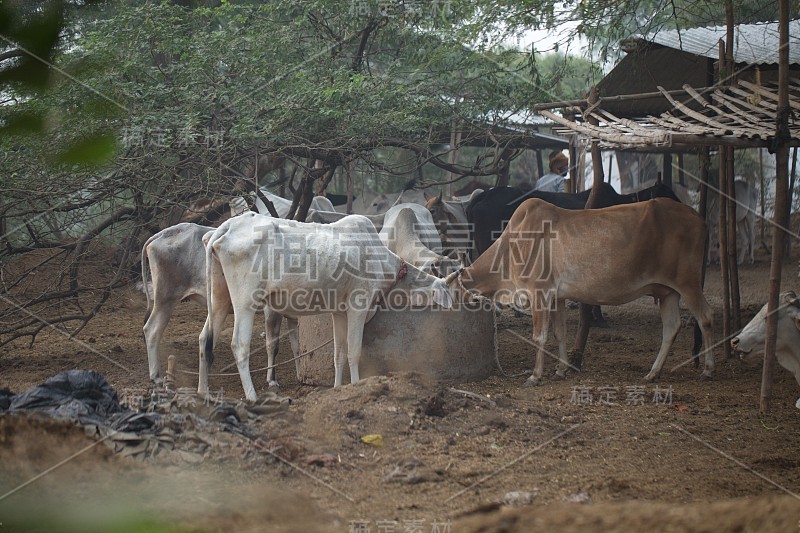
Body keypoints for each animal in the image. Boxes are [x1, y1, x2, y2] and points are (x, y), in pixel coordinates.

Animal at [140, 220, 296, 386]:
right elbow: (273, 345)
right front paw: (272, 380)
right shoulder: (272, 310)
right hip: (166, 298)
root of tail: (160, 234)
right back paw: (155, 375)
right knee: (151, 330)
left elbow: (296, 345)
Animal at [198, 210, 454, 396]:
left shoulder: (339, 312)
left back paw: (203, 392)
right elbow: (353, 352)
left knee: (204, 339)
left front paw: (338, 387)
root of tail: (225, 227)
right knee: (239, 345)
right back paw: (251, 396)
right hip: (245, 302)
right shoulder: (358, 306)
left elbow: (338, 353)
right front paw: (356, 385)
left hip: (219, 298)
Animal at [446, 197, 716, 384]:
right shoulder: (557, 298)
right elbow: (560, 334)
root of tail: (701, 219)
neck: (509, 248)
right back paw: (653, 373)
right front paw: (560, 369)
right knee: (671, 327)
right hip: (668, 292)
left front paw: (535, 375)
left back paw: (707, 370)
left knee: (705, 318)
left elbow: (539, 336)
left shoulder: (539, 294)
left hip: (688, 283)